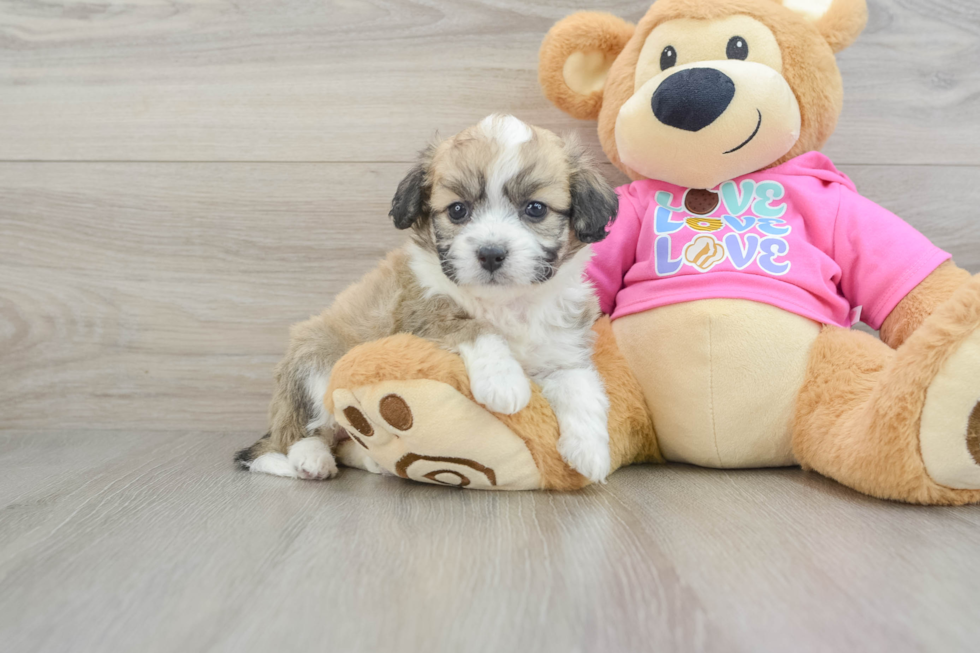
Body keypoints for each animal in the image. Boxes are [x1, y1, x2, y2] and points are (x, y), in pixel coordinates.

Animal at [236, 116, 616, 484]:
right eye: (458, 210)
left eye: (535, 209)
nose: (491, 254)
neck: (505, 303)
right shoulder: (418, 311)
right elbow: (469, 325)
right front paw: (503, 381)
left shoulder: (562, 345)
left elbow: (580, 384)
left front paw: (590, 451)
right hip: (316, 362)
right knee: (302, 432)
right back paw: (310, 460)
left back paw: (369, 461)